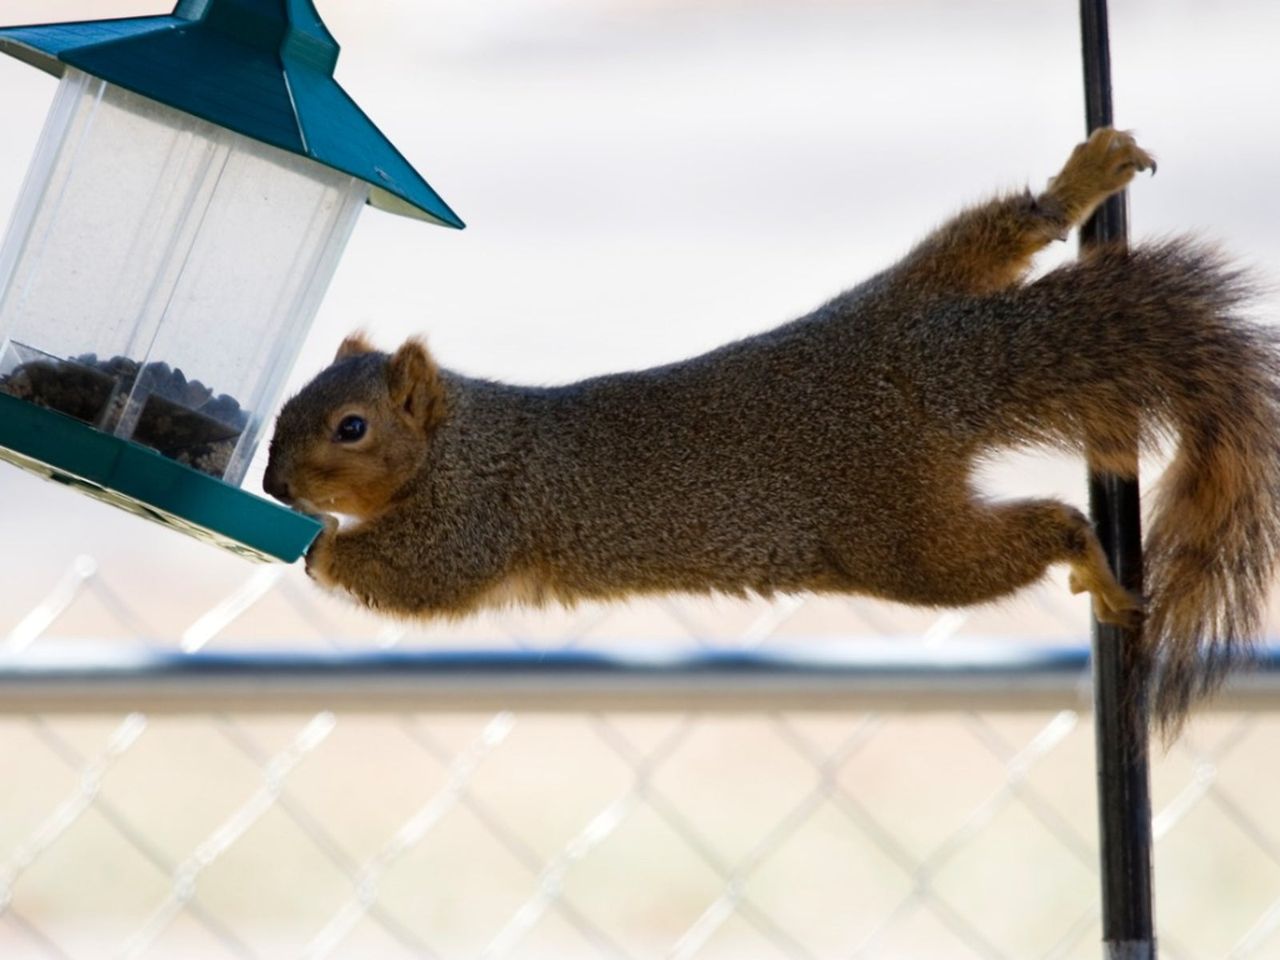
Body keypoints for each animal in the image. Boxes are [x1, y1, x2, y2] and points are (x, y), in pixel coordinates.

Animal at [262, 126, 1280, 727]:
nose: (273, 485)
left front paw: (318, 542)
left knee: (1035, 531)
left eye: (350, 427)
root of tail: (940, 377)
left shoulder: (476, 514)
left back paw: (1092, 560)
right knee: (1004, 229)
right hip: (915, 293)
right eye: (288, 407)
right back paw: (1083, 178)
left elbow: (417, 577)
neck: (455, 440)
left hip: (906, 545)